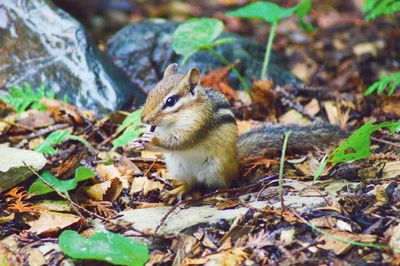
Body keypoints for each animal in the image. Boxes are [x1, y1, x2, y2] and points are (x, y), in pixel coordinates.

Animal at [130, 64, 344, 192]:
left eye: (170, 101)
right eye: (150, 93)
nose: (143, 118)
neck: (173, 122)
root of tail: (235, 158)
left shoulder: (197, 125)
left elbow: (180, 142)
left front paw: (151, 140)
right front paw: (137, 141)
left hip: (217, 168)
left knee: (224, 183)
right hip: (178, 167)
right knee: (191, 183)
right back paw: (178, 190)